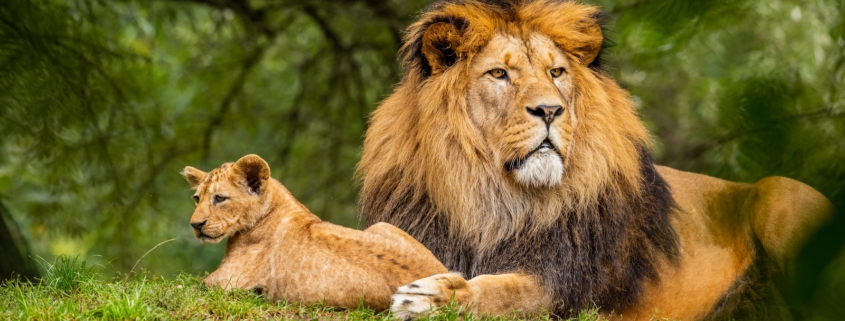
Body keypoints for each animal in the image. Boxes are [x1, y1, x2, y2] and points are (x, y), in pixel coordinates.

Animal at [354, 0, 832, 318]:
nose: (550, 110)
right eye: (499, 74)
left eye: (556, 72)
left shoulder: (565, 285)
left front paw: (433, 298)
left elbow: (503, 292)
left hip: (779, 195)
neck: (491, 197)